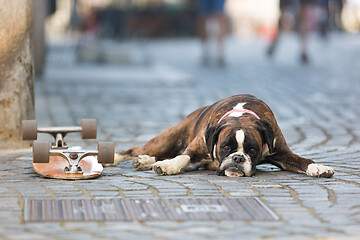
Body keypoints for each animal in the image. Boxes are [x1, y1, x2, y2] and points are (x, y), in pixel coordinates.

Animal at [112, 94, 334, 177]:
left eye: (252, 150)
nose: (237, 158)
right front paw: (168, 167)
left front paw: (318, 167)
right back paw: (121, 158)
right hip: (167, 140)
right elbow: (183, 157)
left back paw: (144, 161)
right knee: (137, 149)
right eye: (225, 147)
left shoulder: (282, 153)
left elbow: (302, 160)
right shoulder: (197, 146)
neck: (242, 115)